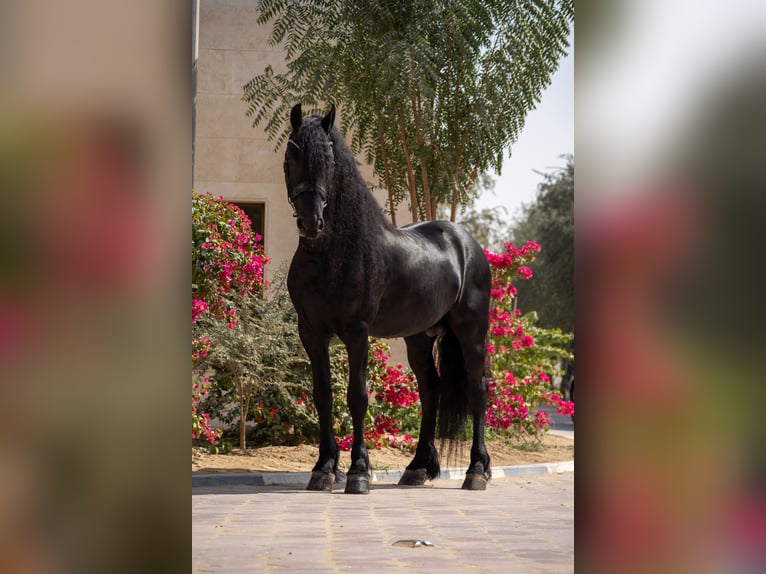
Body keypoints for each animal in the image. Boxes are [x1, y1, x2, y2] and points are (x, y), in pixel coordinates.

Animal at [284, 104, 492, 494]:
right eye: (292, 156)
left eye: (329, 160)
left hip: (471, 332)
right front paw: (323, 468)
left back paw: (476, 471)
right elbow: (323, 395)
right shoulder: (312, 333)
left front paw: (358, 472)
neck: (332, 255)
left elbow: (357, 396)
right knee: (430, 389)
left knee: (478, 389)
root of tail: (467, 242)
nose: (311, 222)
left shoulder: (357, 332)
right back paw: (417, 469)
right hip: (419, 337)